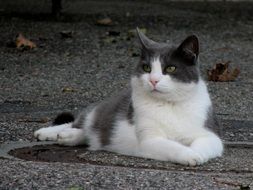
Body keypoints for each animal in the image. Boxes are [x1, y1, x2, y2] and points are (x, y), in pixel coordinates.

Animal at [34, 29, 223, 166]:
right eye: (147, 68)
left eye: (170, 68)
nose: (153, 80)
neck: (169, 105)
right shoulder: (150, 140)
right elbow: (171, 146)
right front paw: (189, 155)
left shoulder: (209, 134)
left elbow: (205, 144)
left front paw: (196, 153)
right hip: (98, 111)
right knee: (77, 121)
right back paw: (49, 132)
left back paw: (69, 136)